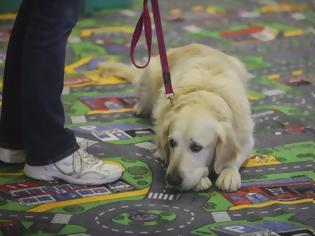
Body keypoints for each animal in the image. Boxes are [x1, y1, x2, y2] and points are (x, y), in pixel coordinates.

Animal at [101, 43, 254, 192]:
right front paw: (201, 180)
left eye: (196, 147)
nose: (173, 180)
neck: (205, 93)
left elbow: (234, 155)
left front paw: (229, 173)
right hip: (149, 77)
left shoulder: (246, 140)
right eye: (171, 143)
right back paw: (141, 107)